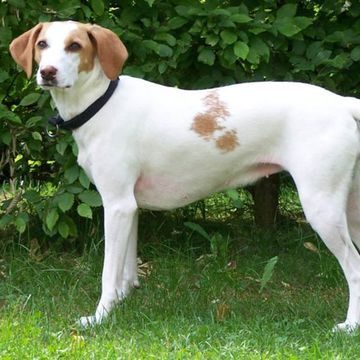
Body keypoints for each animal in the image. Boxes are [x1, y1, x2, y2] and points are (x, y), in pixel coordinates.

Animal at [9, 21, 360, 330]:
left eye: (75, 46)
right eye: (43, 44)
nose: (47, 72)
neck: (101, 104)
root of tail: (342, 102)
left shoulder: (117, 205)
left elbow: (109, 273)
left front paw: (100, 318)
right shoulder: (130, 207)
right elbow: (126, 269)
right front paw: (122, 303)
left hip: (322, 208)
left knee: (354, 268)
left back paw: (350, 325)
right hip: (350, 211)